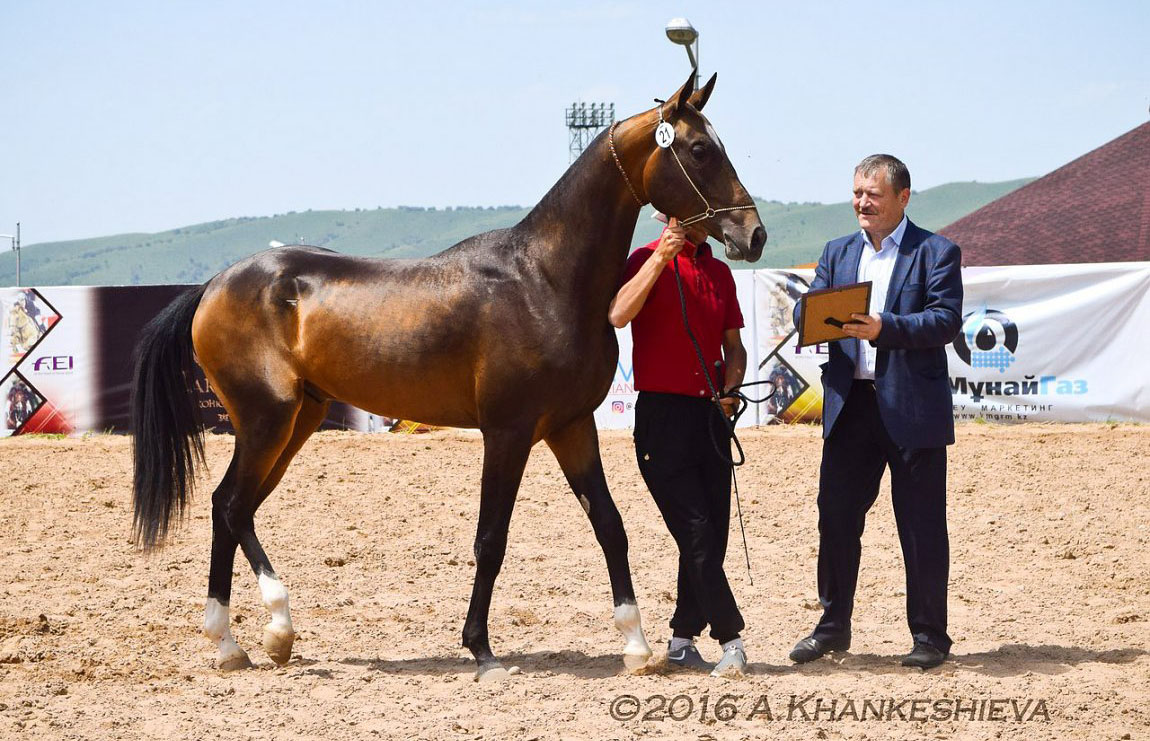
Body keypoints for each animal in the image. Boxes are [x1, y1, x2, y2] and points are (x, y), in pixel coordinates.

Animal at [132, 72, 763, 681]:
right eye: (700, 149)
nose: (752, 235)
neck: (545, 280)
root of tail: (214, 285)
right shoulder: (508, 433)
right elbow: (491, 539)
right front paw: (483, 653)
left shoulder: (571, 426)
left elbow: (610, 525)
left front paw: (636, 646)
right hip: (267, 421)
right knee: (231, 505)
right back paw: (260, 634)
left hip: (297, 422)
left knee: (231, 509)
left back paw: (243, 643)